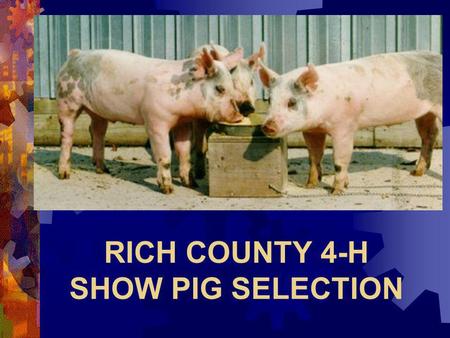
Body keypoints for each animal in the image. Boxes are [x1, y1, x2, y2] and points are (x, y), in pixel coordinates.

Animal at [58, 48, 246, 194]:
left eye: (231, 86)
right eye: (220, 88)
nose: (239, 116)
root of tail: (74, 55)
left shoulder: (183, 123)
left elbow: (184, 152)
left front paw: (191, 184)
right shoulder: (156, 120)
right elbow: (165, 155)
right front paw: (168, 190)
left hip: (98, 112)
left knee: (96, 131)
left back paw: (103, 170)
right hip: (67, 101)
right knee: (67, 135)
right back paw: (64, 175)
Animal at [258, 51, 442, 194]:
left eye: (292, 102)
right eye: (270, 100)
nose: (267, 126)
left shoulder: (344, 127)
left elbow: (339, 159)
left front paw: (336, 192)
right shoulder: (312, 130)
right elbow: (314, 157)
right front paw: (309, 186)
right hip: (425, 113)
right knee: (429, 135)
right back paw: (416, 173)